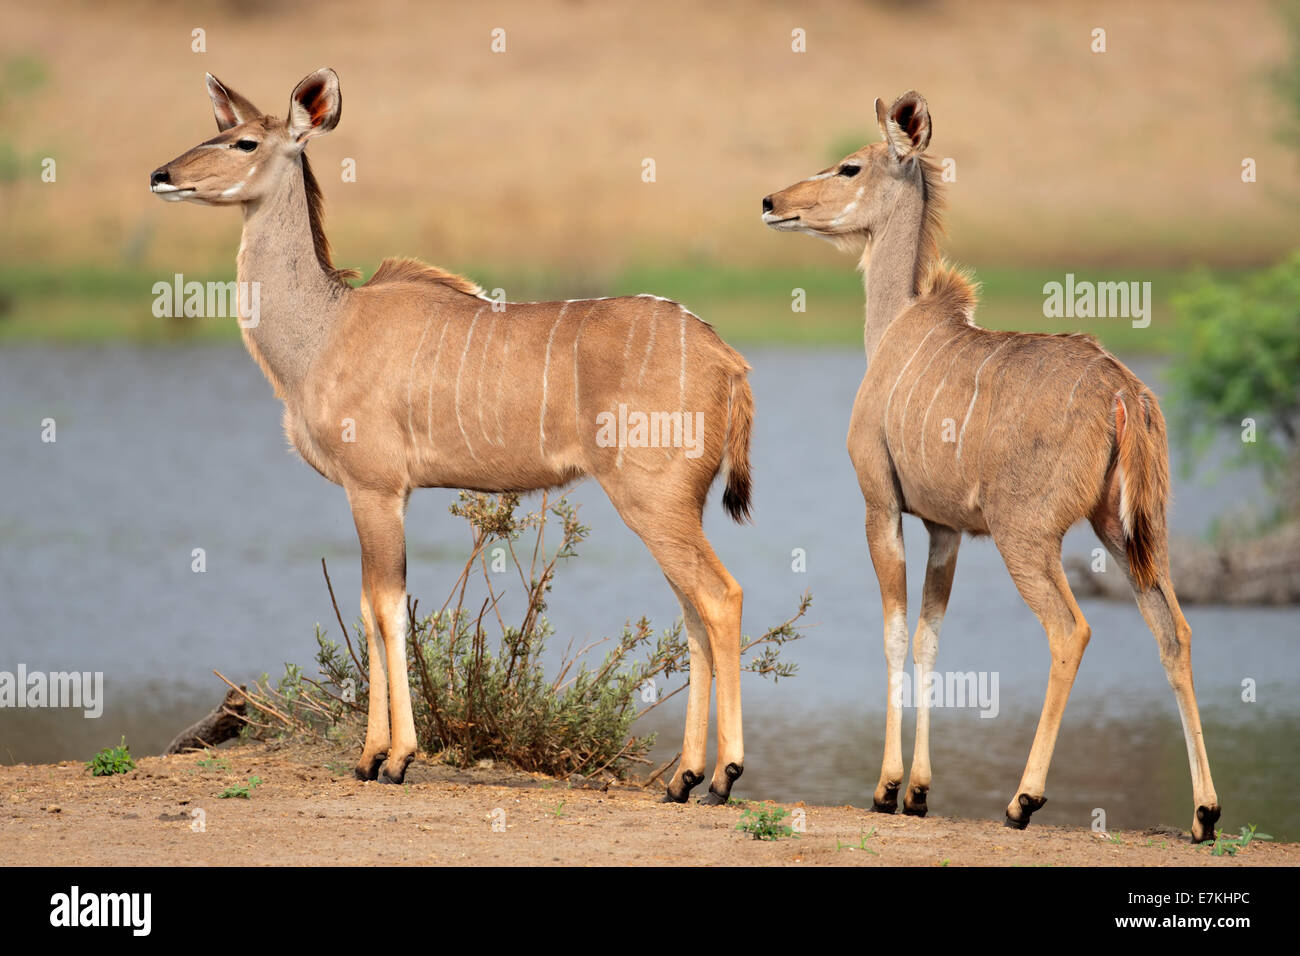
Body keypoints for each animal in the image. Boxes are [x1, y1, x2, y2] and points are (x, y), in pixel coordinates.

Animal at [149, 67, 754, 806]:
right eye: (216, 128)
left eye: (244, 141)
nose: (162, 174)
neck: (325, 330)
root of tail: (727, 359)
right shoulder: (382, 493)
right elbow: (371, 605)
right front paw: (373, 757)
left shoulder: (376, 487)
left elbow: (386, 608)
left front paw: (390, 759)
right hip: (674, 506)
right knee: (693, 609)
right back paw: (682, 778)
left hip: (653, 499)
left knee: (720, 597)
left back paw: (723, 776)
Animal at [759, 89, 1216, 837]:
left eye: (850, 165)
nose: (772, 202)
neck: (894, 329)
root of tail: (1125, 393)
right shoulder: (946, 530)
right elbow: (929, 636)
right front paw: (920, 791)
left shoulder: (881, 505)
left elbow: (894, 633)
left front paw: (888, 788)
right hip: (1128, 532)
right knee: (1172, 629)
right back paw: (1206, 812)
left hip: (1026, 535)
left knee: (1071, 630)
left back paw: (1022, 800)